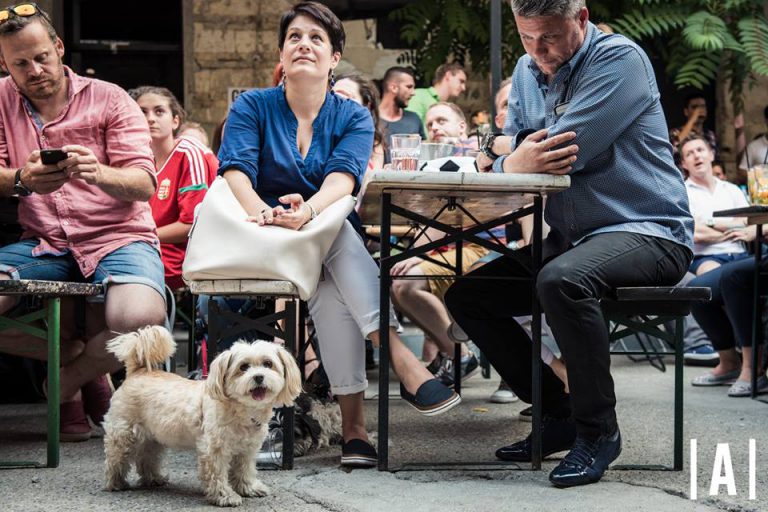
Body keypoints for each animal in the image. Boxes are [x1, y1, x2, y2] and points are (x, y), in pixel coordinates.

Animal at [103, 326, 302, 506]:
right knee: (116, 459)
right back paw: (116, 482)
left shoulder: (247, 450)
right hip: (123, 434)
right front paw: (225, 496)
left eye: (268, 364)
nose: (259, 377)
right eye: (243, 367)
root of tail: (137, 372)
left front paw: (248, 488)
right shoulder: (214, 450)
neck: (241, 410)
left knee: (146, 458)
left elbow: (244, 470)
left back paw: (153, 478)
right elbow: (217, 475)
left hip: (153, 438)